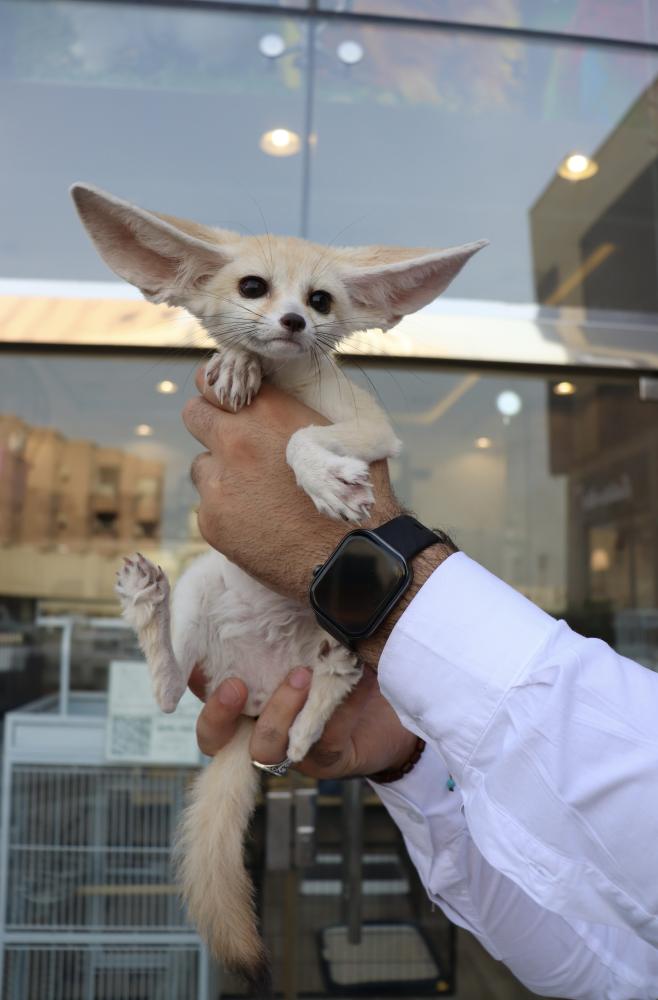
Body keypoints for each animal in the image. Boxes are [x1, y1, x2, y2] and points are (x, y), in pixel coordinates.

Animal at [70, 182, 486, 996]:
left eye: (321, 300)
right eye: (253, 288)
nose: (294, 322)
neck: (293, 385)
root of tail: (253, 705)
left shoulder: (372, 428)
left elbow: (298, 438)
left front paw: (324, 479)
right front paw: (235, 361)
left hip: (358, 652)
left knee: (300, 722)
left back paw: (318, 687)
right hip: (202, 588)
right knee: (168, 691)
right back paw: (146, 604)